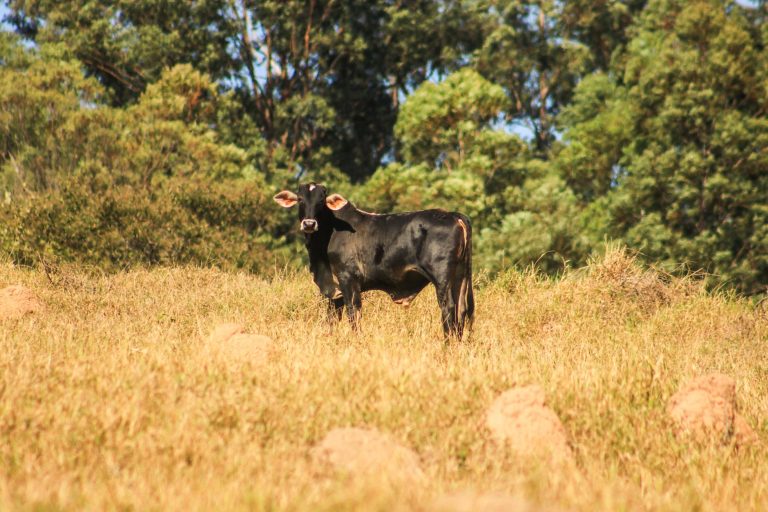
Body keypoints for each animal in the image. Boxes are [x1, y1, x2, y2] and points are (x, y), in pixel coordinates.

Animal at [273, 183, 474, 338]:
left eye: (321, 201)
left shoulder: (348, 279)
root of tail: (453, 215)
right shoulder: (334, 290)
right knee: (461, 309)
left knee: (448, 307)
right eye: (300, 199)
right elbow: (331, 319)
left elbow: (353, 312)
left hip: (442, 277)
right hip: (461, 276)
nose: (309, 224)